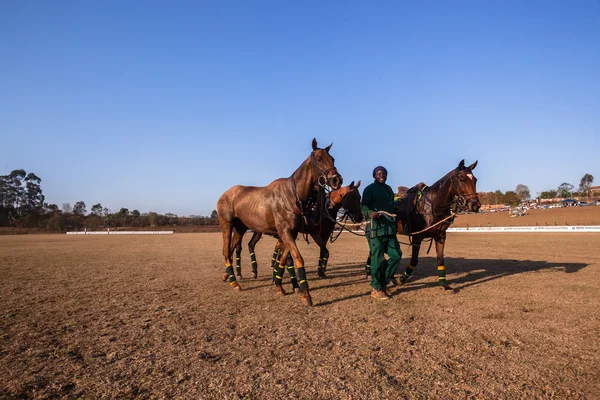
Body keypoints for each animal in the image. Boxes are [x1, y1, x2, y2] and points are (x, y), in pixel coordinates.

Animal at [217, 138, 342, 306]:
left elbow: (283, 259)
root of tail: (225, 194)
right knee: (226, 250)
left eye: (333, 159)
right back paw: (234, 283)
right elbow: (297, 258)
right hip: (227, 225)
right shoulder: (285, 232)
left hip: (240, 228)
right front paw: (306, 294)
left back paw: (228, 276)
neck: (292, 195)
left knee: (230, 250)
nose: (337, 180)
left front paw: (279, 286)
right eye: (319, 159)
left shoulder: (291, 234)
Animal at [394, 159, 482, 290]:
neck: (432, 205)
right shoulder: (417, 237)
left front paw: (444, 284)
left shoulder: (440, 236)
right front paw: (402, 279)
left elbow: (440, 259)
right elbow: (414, 260)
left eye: (475, 180)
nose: (475, 205)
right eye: (462, 179)